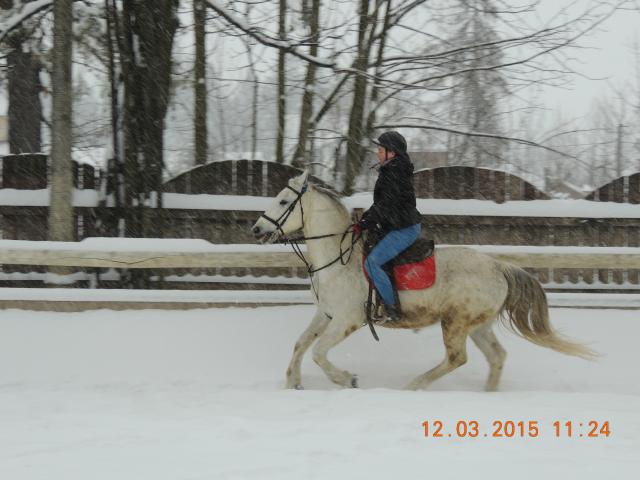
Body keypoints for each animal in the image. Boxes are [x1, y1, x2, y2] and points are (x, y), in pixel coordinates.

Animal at [250, 171, 596, 392]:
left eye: (284, 202)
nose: (256, 230)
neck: (338, 259)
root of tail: (499, 266)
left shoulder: (347, 320)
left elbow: (319, 352)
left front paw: (347, 379)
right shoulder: (326, 314)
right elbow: (301, 344)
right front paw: (293, 381)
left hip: (455, 322)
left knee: (457, 358)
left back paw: (413, 386)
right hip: (478, 325)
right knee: (496, 357)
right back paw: (487, 393)